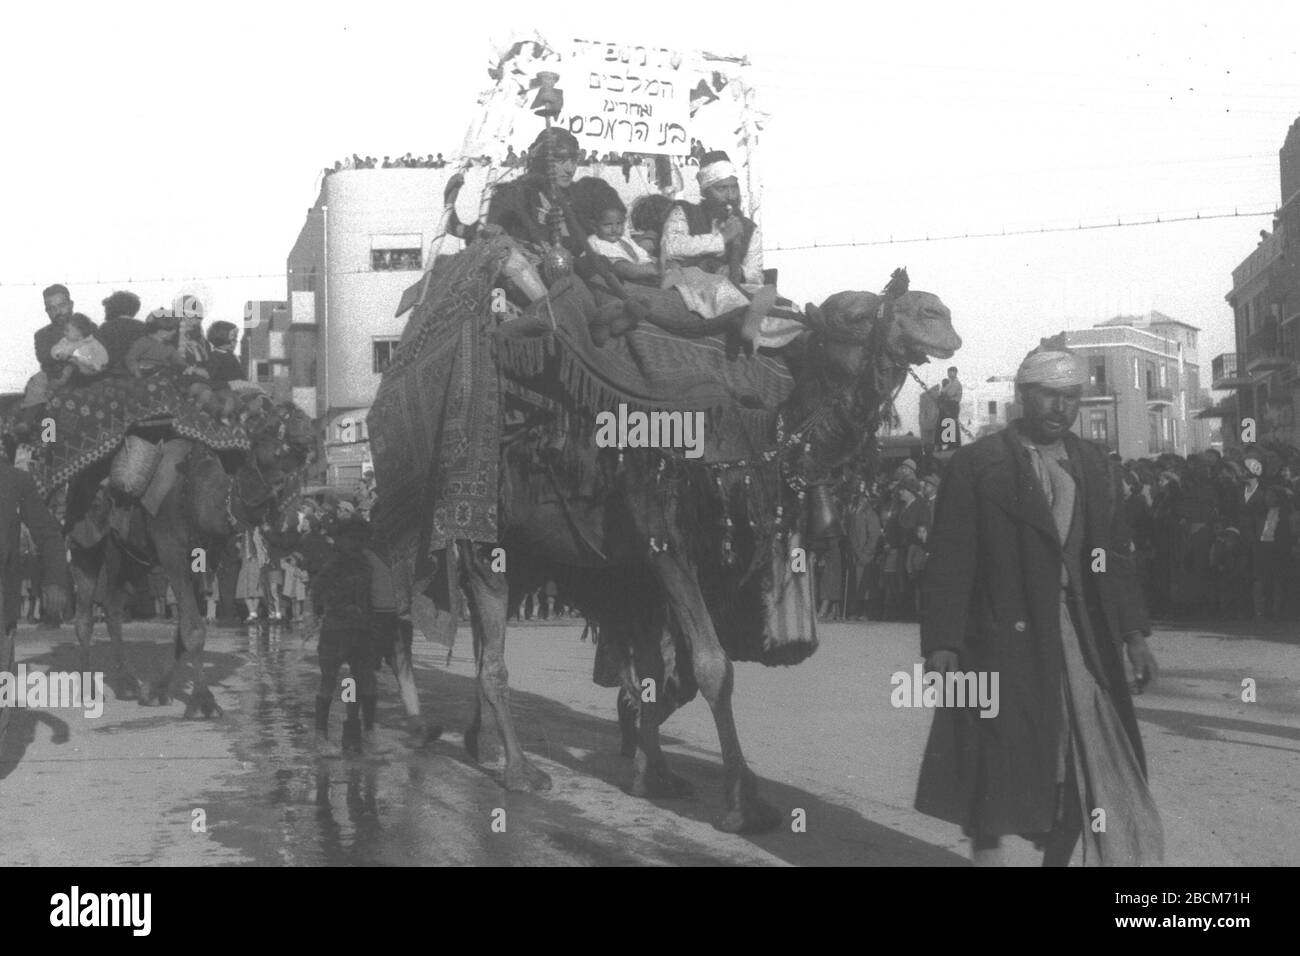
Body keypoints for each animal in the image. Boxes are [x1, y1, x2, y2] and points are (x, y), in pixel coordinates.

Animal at [371, 252, 961, 832]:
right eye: (853, 315)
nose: (940, 316)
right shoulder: (666, 542)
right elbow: (712, 667)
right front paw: (740, 803)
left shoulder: (657, 570)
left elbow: (666, 676)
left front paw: (652, 770)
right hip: (482, 537)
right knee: (489, 654)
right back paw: (518, 770)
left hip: (529, 555)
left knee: (482, 645)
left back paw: (484, 744)